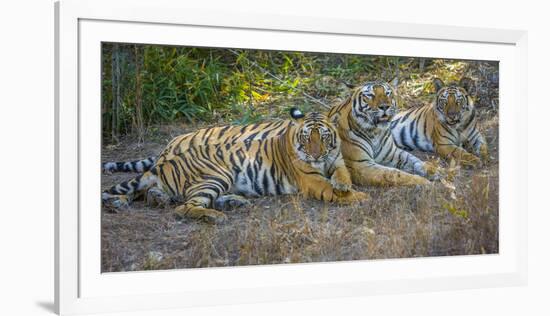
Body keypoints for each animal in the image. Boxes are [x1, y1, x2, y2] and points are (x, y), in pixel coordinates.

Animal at [103, 108, 370, 222]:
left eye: (322, 137)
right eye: (306, 138)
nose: (315, 155)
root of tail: (168, 157)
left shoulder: (336, 160)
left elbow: (342, 175)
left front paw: (345, 185)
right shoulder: (311, 179)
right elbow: (330, 189)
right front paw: (359, 197)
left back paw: (233, 202)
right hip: (215, 176)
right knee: (183, 207)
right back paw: (215, 216)